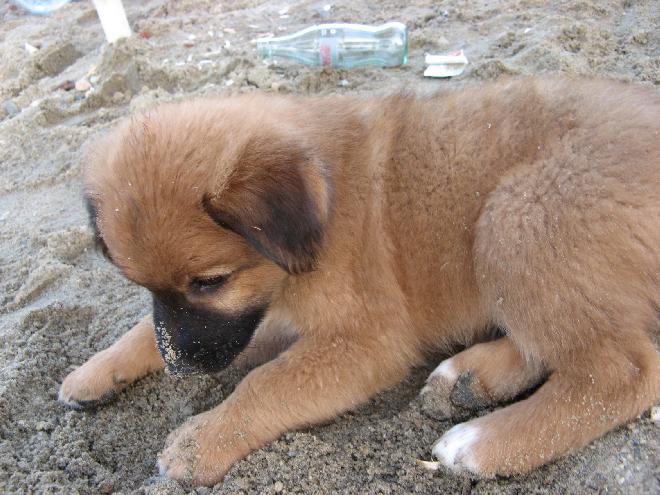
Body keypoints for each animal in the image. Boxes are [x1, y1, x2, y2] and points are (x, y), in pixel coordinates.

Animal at [59, 79, 656, 486]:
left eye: (210, 281)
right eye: (143, 287)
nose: (181, 369)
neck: (326, 202)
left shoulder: (363, 341)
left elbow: (268, 383)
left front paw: (199, 442)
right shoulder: (262, 316)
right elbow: (143, 332)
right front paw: (93, 373)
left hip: (516, 219)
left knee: (622, 371)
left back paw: (483, 443)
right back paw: (468, 380)